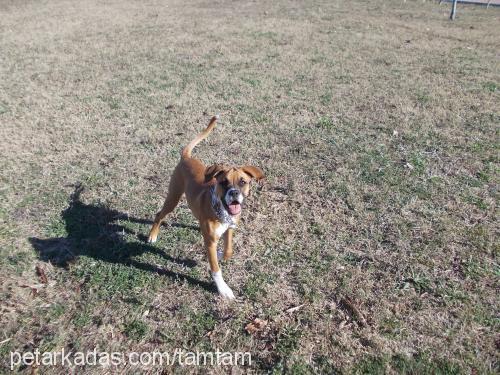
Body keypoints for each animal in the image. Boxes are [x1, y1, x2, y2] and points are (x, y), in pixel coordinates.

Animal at [147, 116, 266, 298]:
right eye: (223, 182)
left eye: (242, 182)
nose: (233, 193)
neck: (220, 210)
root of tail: (186, 158)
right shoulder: (210, 243)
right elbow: (216, 269)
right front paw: (223, 289)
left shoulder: (230, 228)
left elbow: (229, 249)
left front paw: (222, 255)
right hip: (173, 197)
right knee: (159, 214)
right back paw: (153, 235)